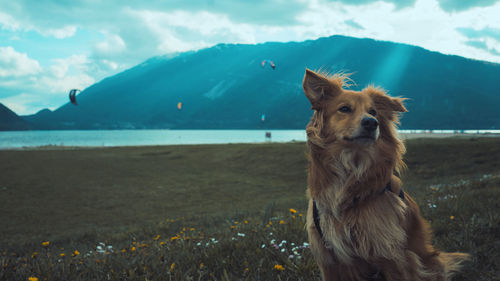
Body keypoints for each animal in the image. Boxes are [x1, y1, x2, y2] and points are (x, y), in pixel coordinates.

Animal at [300, 68, 468, 280]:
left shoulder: (390, 253)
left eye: (373, 112)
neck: (351, 171)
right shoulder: (329, 260)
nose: (372, 123)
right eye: (344, 109)